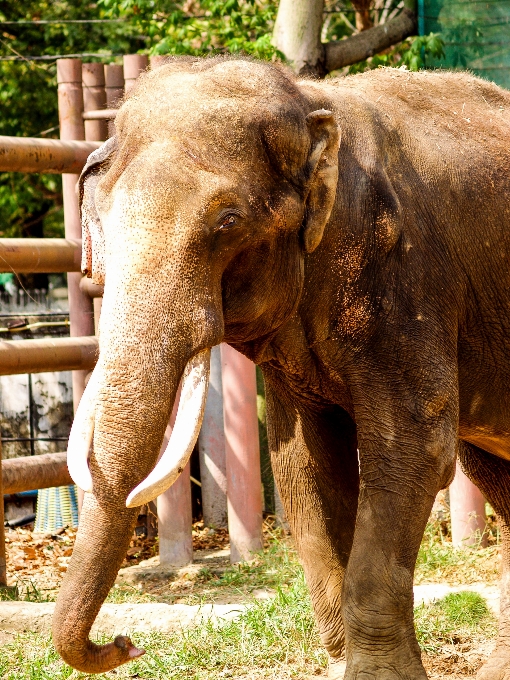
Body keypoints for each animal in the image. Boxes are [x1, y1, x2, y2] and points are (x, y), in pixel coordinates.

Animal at [52, 58, 510, 680]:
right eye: (100, 220)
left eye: (227, 222)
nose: (125, 643)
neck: (309, 102)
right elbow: (303, 464)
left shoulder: (407, 278)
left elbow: (413, 449)